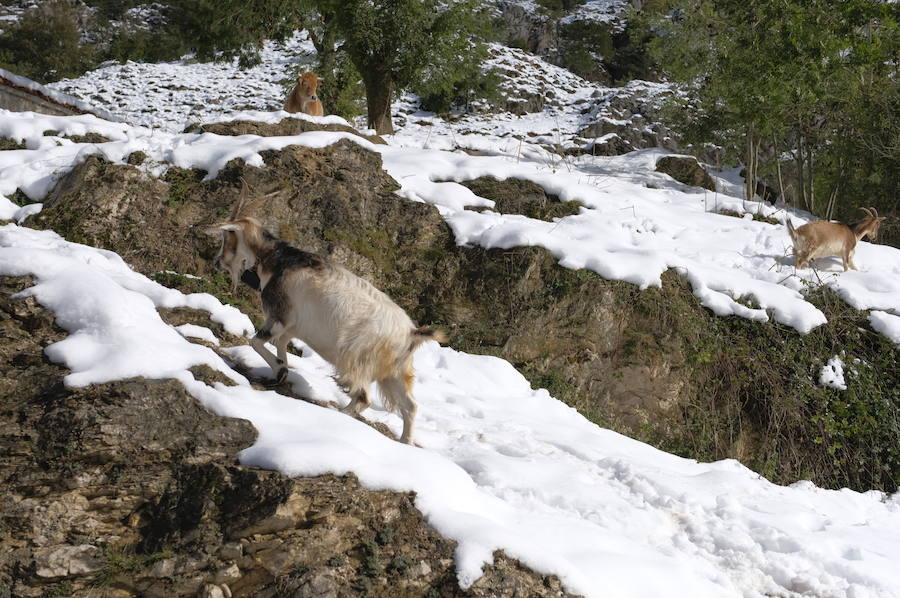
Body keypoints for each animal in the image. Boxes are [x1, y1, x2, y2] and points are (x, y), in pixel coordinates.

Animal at [207, 183, 446, 446]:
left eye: (226, 237)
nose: (217, 263)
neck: (281, 262)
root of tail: (410, 334)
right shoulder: (292, 326)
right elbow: (280, 344)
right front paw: (280, 371)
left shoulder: (280, 315)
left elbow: (256, 342)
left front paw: (280, 370)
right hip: (394, 373)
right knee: (410, 406)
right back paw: (405, 442)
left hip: (358, 360)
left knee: (364, 398)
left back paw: (339, 415)